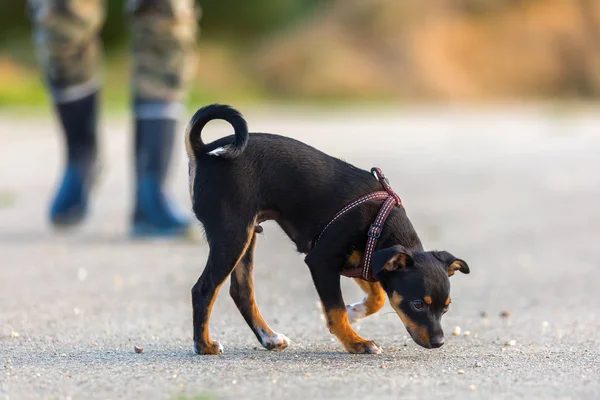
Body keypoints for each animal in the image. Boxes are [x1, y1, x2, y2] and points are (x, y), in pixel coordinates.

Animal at [183, 104, 468, 354]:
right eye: (418, 304)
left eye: (445, 308)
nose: (439, 342)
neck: (379, 221)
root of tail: (204, 151)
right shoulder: (322, 261)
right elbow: (335, 310)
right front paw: (356, 343)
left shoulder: (364, 260)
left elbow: (376, 296)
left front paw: (356, 312)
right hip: (233, 236)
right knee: (204, 289)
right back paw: (204, 345)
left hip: (246, 237)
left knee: (241, 291)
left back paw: (269, 338)